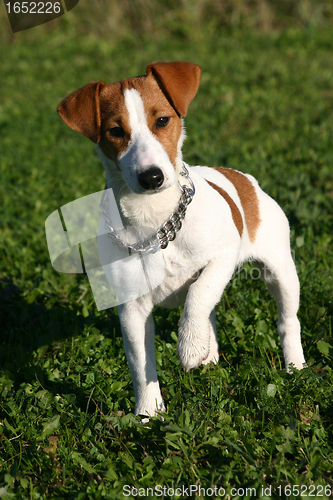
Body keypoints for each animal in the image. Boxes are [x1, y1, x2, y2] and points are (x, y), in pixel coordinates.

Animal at [57, 60, 306, 416]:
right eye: (115, 131)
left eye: (162, 120)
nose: (151, 177)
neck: (155, 224)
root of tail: (242, 177)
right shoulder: (131, 308)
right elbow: (140, 364)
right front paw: (147, 413)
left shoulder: (222, 256)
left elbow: (199, 294)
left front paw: (188, 345)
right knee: (211, 316)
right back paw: (208, 355)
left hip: (280, 271)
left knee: (286, 320)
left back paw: (294, 366)